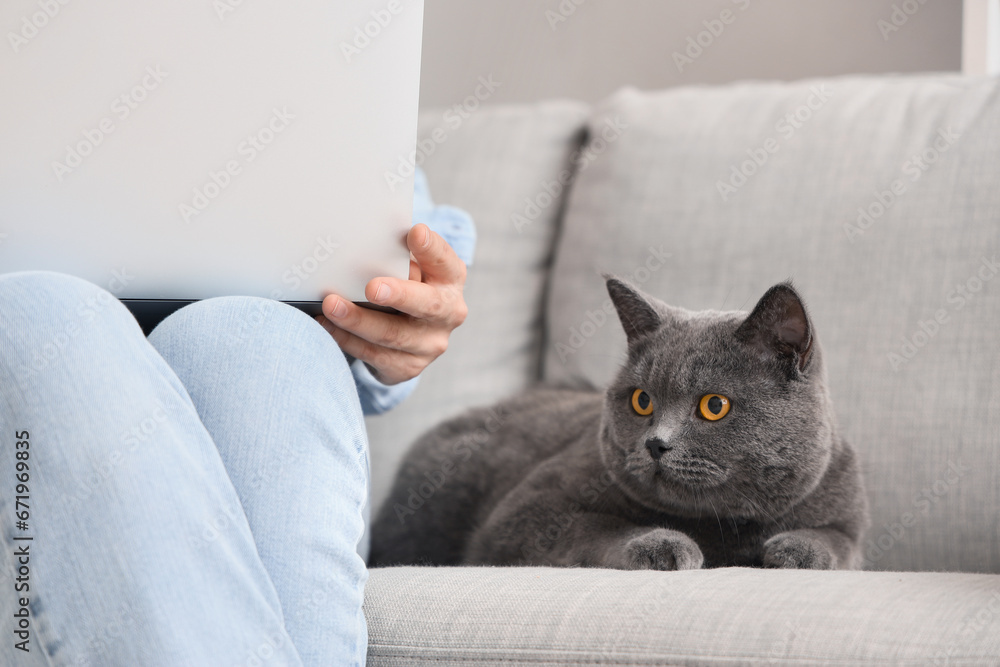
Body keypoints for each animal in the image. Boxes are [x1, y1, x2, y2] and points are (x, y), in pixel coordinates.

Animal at [368, 280, 868, 572]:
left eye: (714, 406)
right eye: (642, 400)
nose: (655, 444)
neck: (719, 528)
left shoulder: (847, 516)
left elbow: (835, 542)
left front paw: (795, 550)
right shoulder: (527, 511)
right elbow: (596, 529)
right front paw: (662, 545)